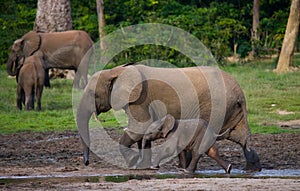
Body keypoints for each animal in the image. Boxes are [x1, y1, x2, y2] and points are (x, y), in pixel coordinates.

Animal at [76, 63, 262, 172]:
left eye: (93, 93)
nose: (86, 163)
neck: (116, 71)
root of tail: (239, 92)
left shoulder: (139, 99)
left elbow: (139, 128)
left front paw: (134, 163)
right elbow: (143, 131)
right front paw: (142, 166)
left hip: (217, 107)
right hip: (231, 109)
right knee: (241, 136)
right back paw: (252, 169)